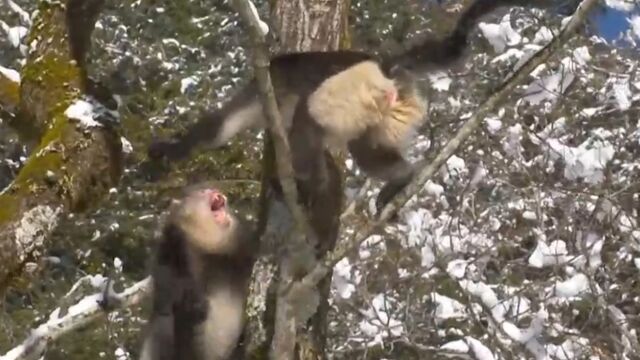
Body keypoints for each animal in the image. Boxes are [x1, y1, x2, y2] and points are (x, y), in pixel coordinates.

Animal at [148, 0, 548, 211]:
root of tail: (386, 68)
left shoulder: (269, 83)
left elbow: (224, 127)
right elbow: (220, 130)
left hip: (355, 91)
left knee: (308, 121)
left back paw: (312, 184)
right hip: (386, 110)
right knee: (363, 147)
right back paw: (400, 177)